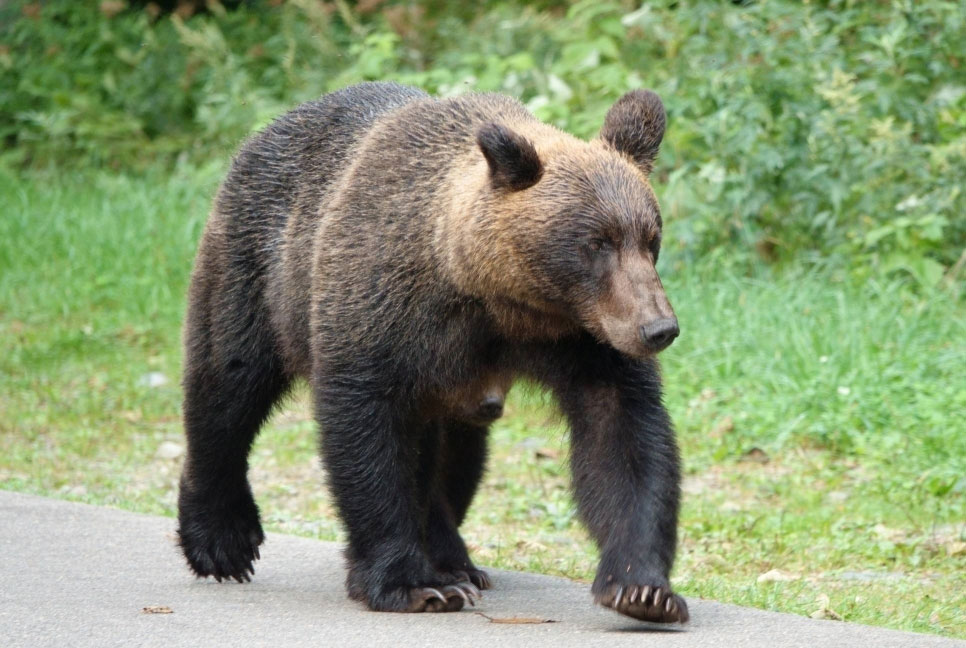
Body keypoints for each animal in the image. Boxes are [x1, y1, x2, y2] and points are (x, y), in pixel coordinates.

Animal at [176, 81, 688, 624]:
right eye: (596, 242)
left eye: (650, 238)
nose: (659, 328)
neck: (493, 296)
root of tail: (264, 131)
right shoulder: (381, 312)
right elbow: (370, 438)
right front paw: (409, 584)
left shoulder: (581, 340)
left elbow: (623, 440)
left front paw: (642, 589)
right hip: (258, 266)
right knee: (228, 382)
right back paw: (221, 539)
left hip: (463, 396)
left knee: (456, 458)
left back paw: (454, 561)